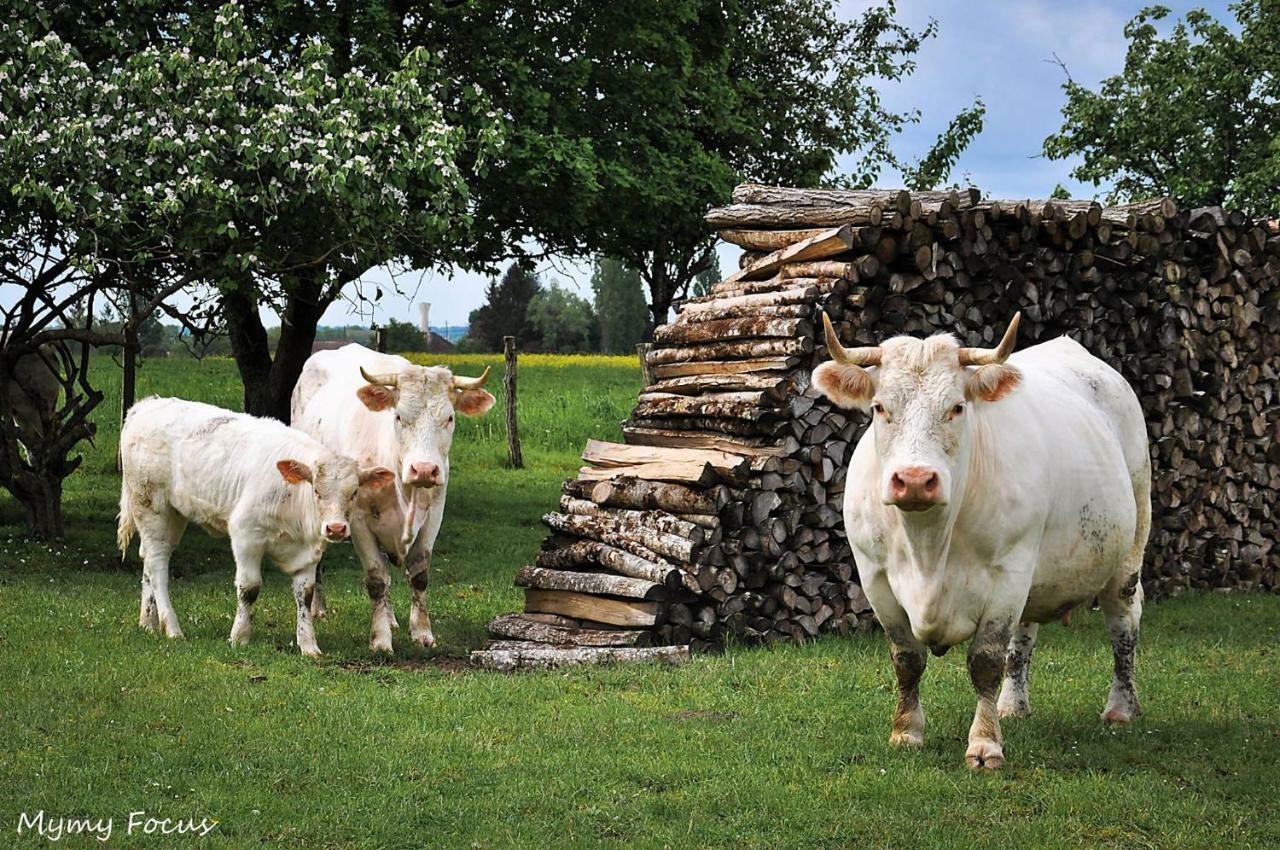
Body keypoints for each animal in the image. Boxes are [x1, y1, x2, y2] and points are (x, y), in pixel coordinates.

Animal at [117, 399, 391, 655]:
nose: (335, 528)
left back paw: (148, 622)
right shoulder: (246, 535)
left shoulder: (309, 552)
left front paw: (308, 645)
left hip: (173, 514)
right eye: (316, 490)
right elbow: (249, 588)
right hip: (151, 505)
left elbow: (305, 594)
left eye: (354, 492)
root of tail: (146, 404)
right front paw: (240, 636)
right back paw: (171, 628)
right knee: (157, 564)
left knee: (150, 559)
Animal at [291, 343, 494, 650]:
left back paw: (391, 618)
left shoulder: (435, 514)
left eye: (449, 418)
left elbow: (419, 575)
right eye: (398, 417)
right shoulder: (359, 521)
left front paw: (421, 632)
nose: (424, 469)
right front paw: (380, 639)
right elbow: (376, 579)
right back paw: (320, 608)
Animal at [814, 314, 1157, 773]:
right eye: (880, 408)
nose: (915, 480)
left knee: (1123, 623)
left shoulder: (1008, 573)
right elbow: (907, 659)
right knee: (1024, 637)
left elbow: (986, 661)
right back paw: (1013, 706)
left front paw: (985, 744)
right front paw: (906, 731)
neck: (928, 547)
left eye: (957, 407)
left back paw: (1120, 707)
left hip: (1129, 541)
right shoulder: (875, 577)